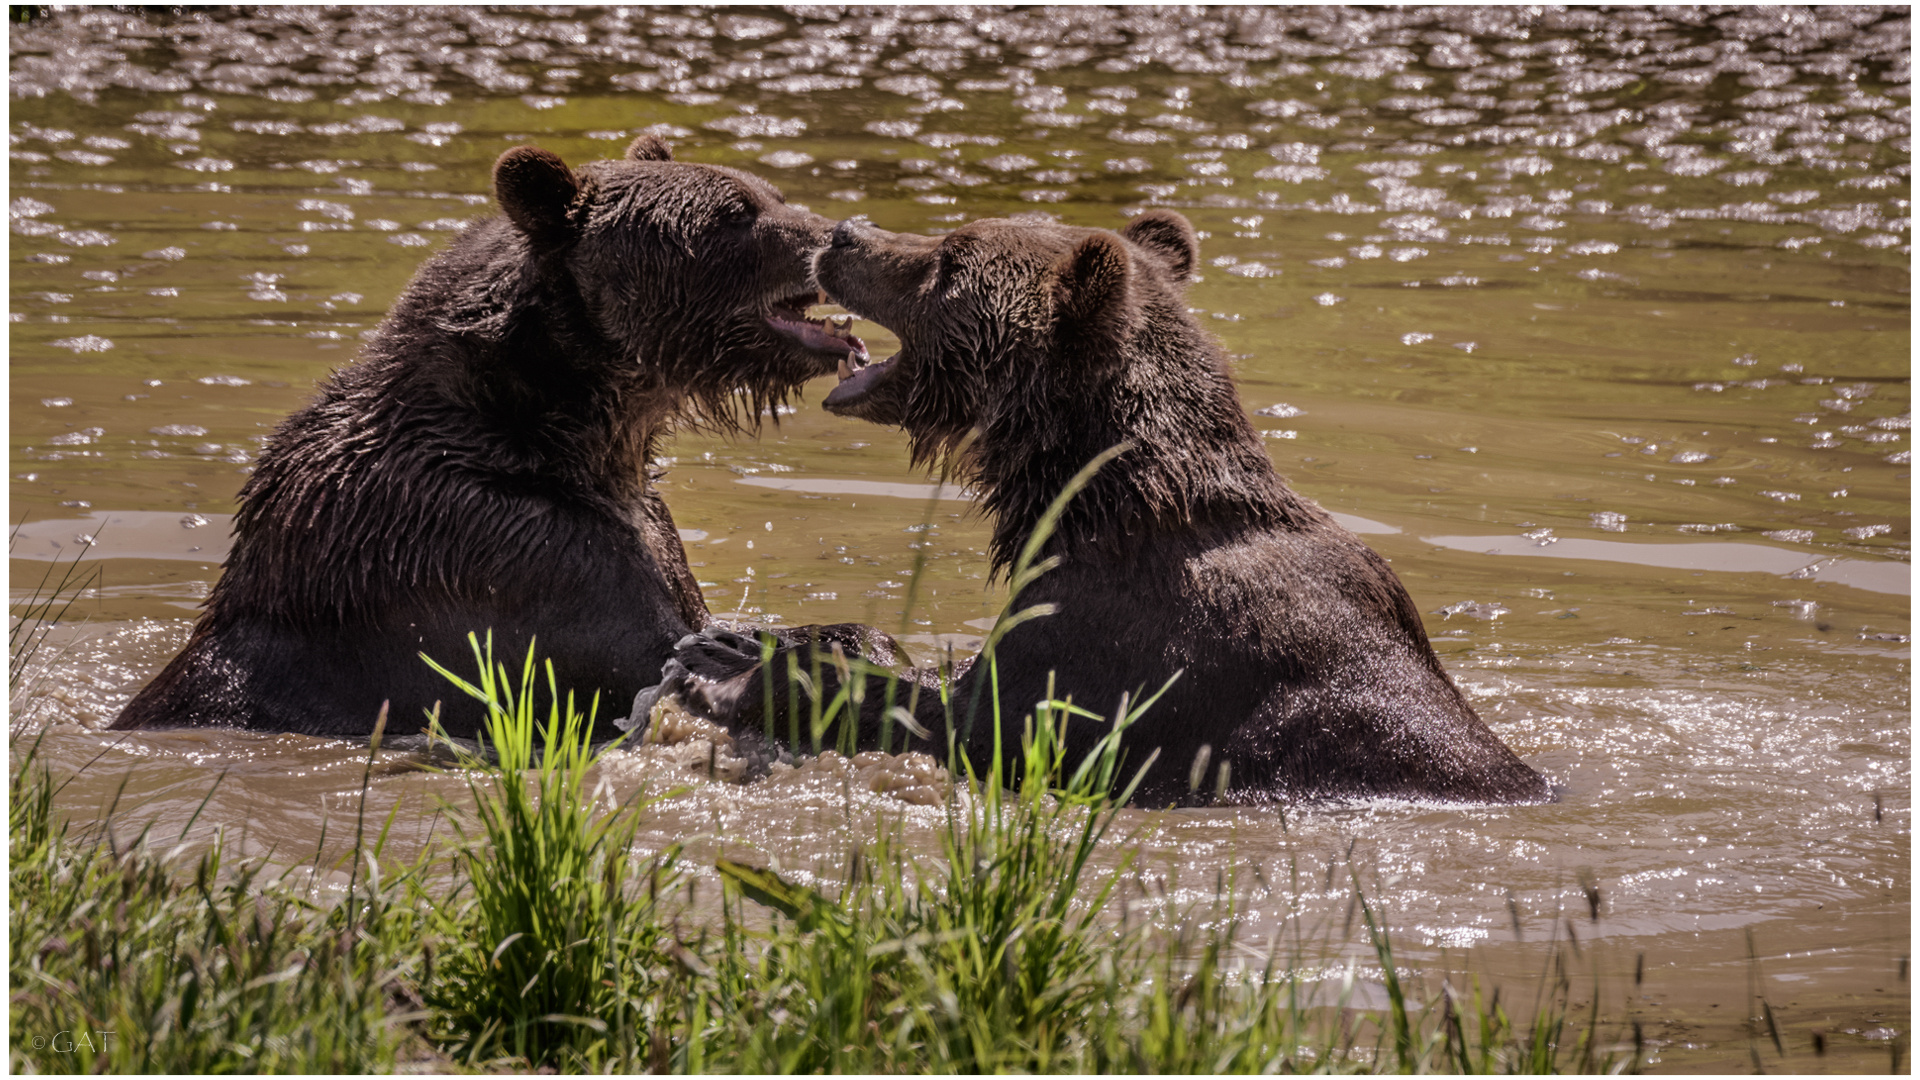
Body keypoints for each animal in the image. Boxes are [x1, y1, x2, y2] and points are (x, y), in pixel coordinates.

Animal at [112, 136, 864, 737]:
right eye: (734, 213)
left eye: (772, 193)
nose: (841, 233)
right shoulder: (496, 557)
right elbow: (657, 662)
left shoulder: (636, 528)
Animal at [652, 208, 1551, 799]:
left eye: (950, 256)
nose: (845, 233)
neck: (1094, 504)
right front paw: (753, 638)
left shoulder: (1119, 645)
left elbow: (973, 716)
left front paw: (730, 673)